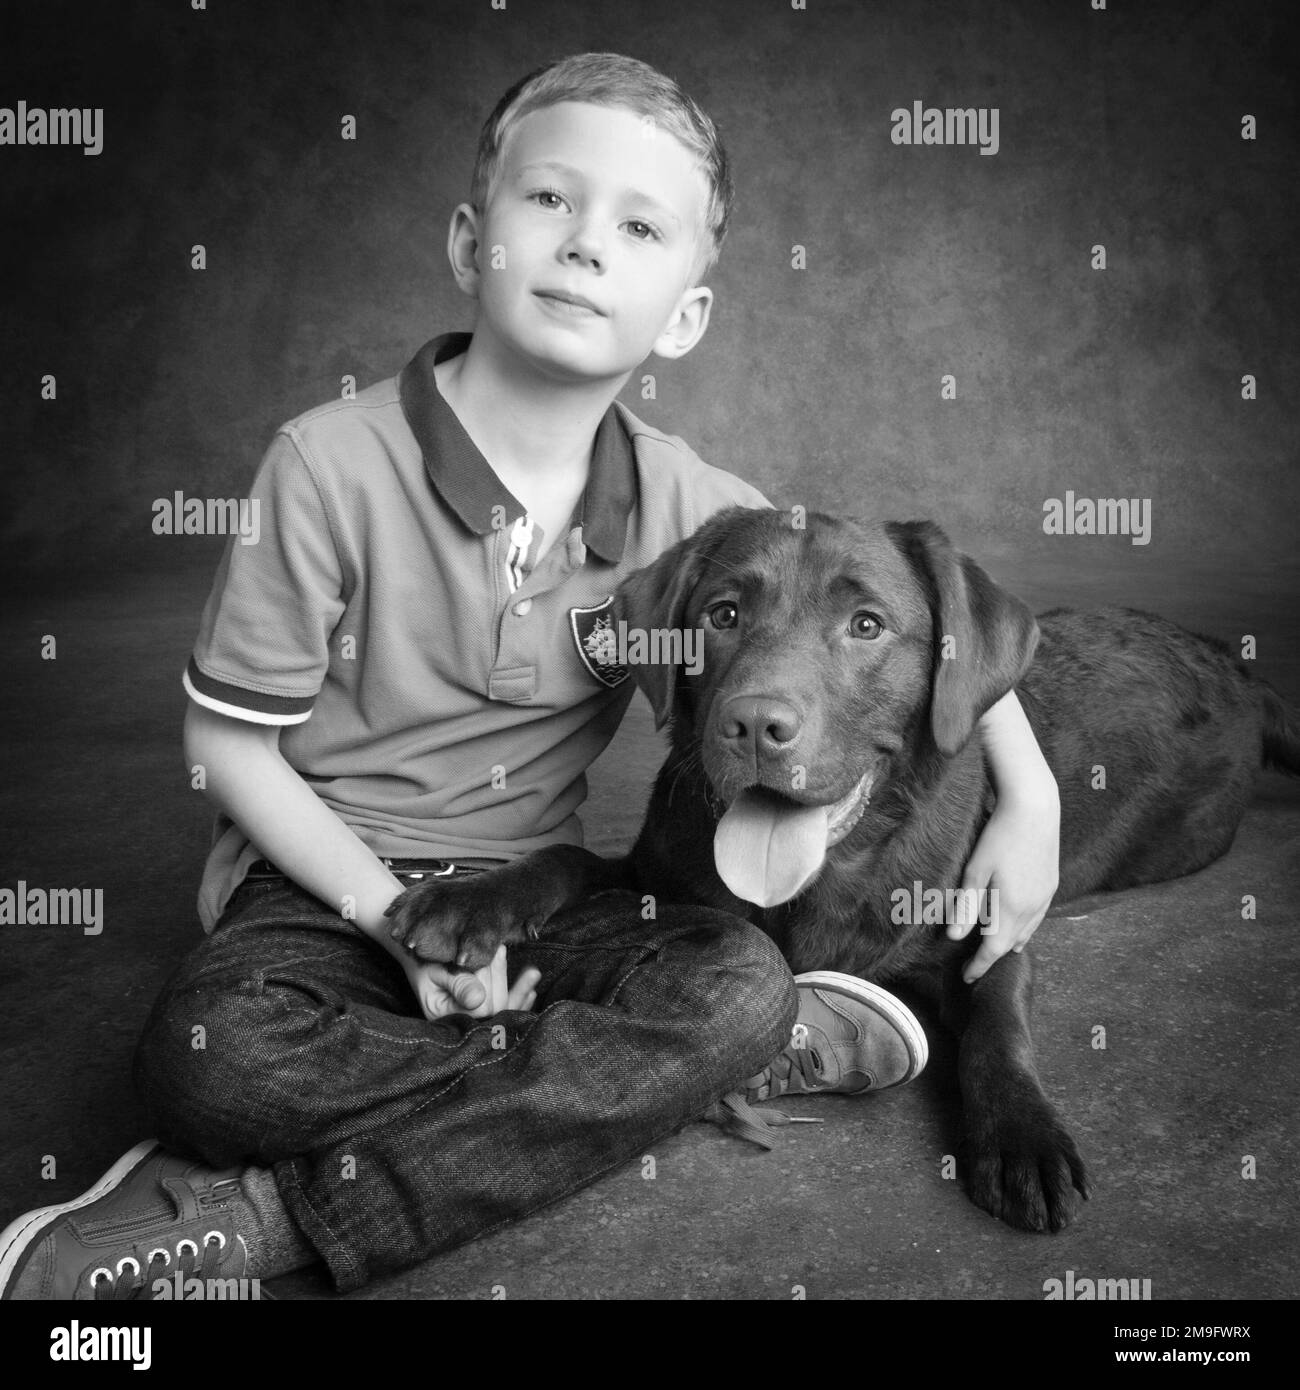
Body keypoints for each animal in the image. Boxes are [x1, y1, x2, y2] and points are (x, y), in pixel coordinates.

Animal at [389, 505, 1300, 1234]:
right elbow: (570, 856)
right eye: (722, 614)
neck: (821, 878)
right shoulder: (653, 870)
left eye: (866, 626)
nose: (756, 724)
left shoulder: (993, 928)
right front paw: (469, 898)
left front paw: (1025, 1140)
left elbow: (998, 1032)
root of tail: (1239, 666)